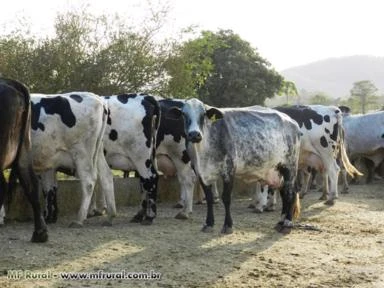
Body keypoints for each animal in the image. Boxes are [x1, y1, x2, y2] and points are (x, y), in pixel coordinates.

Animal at [30, 93, 115, 227]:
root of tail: (99, 100)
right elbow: (49, 188)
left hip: (82, 152)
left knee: (89, 181)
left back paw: (79, 219)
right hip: (98, 151)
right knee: (106, 176)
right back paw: (110, 216)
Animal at [168, 99, 304, 234]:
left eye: (203, 114)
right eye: (184, 114)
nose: (194, 134)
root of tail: (292, 122)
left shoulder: (229, 170)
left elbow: (226, 198)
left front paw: (228, 225)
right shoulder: (200, 173)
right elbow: (209, 198)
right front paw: (209, 223)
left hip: (290, 166)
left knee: (290, 193)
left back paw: (287, 223)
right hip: (278, 171)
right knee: (284, 193)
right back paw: (281, 222)